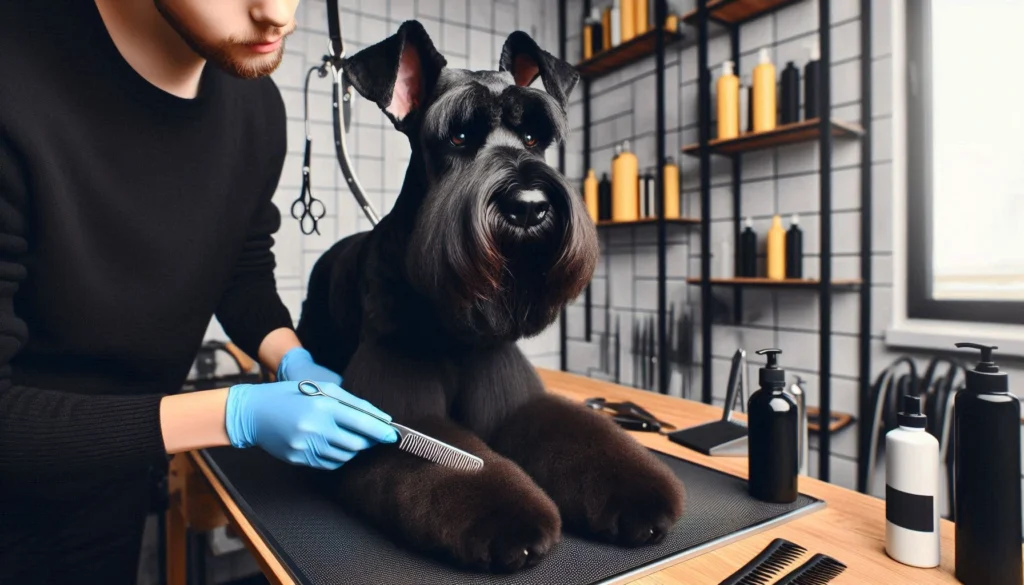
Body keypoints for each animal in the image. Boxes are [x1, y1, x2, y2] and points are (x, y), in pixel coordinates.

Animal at [292, 20, 684, 573]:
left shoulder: (513, 402)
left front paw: (637, 494)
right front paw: (512, 524)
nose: (530, 205)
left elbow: (579, 435)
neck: (454, 321)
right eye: (457, 135)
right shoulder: (402, 413)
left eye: (534, 135)